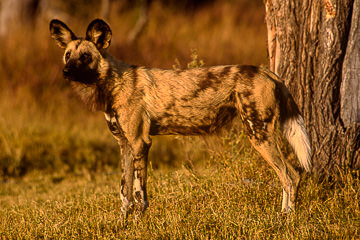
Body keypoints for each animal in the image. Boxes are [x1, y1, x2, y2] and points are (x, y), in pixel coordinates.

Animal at [49, 18, 310, 214]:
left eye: (85, 57)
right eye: (68, 55)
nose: (65, 71)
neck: (112, 84)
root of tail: (266, 71)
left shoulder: (140, 142)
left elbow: (139, 193)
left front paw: (138, 222)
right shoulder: (124, 145)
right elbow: (124, 191)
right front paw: (122, 223)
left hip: (259, 135)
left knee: (290, 176)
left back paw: (284, 219)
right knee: (293, 175)